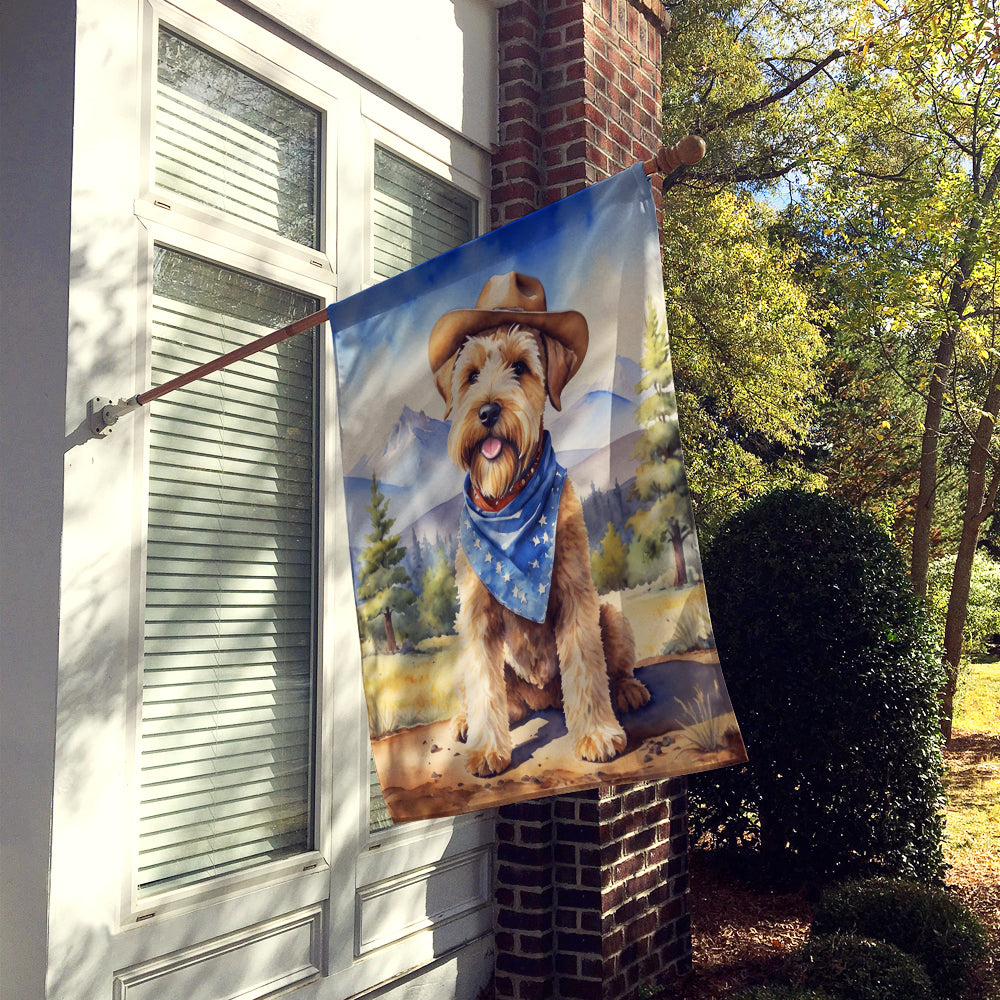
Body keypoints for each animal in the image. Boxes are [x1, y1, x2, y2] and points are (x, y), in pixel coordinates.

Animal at [428, 274, 648, 780]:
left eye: (522, 367)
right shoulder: (476, 615)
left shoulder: (574, 593)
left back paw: (627, 691)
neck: (510, 504)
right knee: (493, 695)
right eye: (470, 375)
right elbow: (485, 684)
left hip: (612, 615)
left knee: (615, 667)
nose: (488, 411)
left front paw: (596, 735)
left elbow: (586, 664)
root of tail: (544, 698)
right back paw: (469, 721)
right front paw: (488, 749)